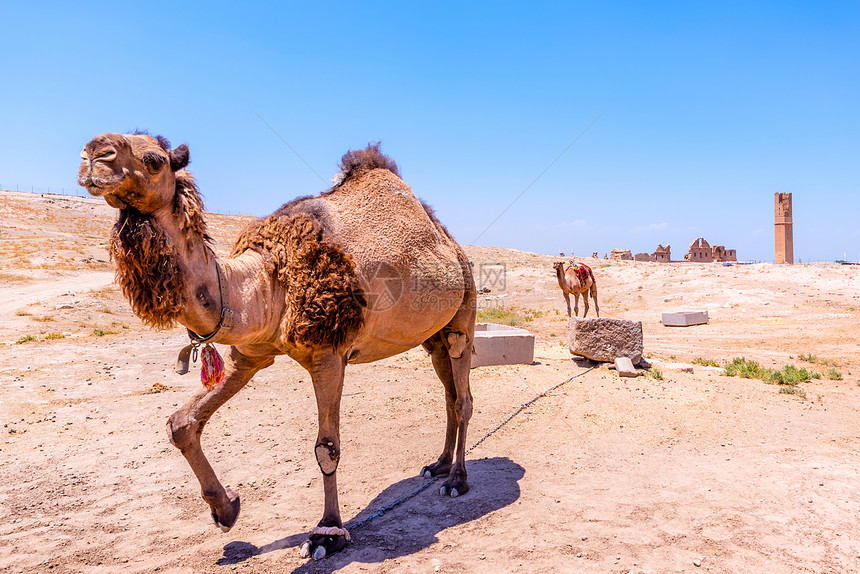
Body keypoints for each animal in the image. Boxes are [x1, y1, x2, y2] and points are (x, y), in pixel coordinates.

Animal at [79, 132, 478, 564]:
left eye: (154, 159)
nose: (93, 155)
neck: (268, 279)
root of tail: (454, 248)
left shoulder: (328, 354)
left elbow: (327, 449)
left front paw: (327, 534)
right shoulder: (251, 352)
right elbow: (181, 423)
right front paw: (226, 508)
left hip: (464, 312)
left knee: (462, 397)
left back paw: (457, 479)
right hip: (432, 337)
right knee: (448, 394)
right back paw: (438, 466)